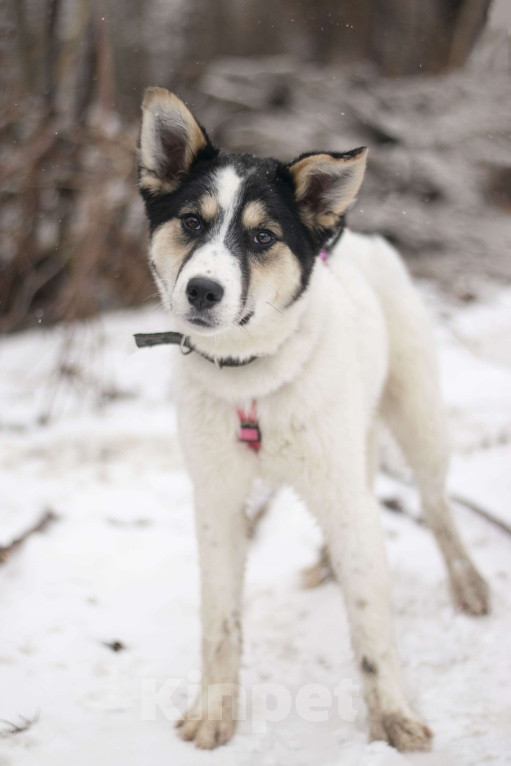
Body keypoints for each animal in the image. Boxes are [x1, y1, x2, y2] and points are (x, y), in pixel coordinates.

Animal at [137, 87, 492, 752]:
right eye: (192, 222)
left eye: (263, 237)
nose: (201, 291)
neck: (252, 377)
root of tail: (364, 237)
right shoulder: (218, 504)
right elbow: (220, 622)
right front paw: (214, 713)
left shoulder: (342, 492)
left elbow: (372, 627)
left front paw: (392, 716)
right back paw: (330, 564)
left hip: (418, 422)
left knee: (436, 508)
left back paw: (468, 584)